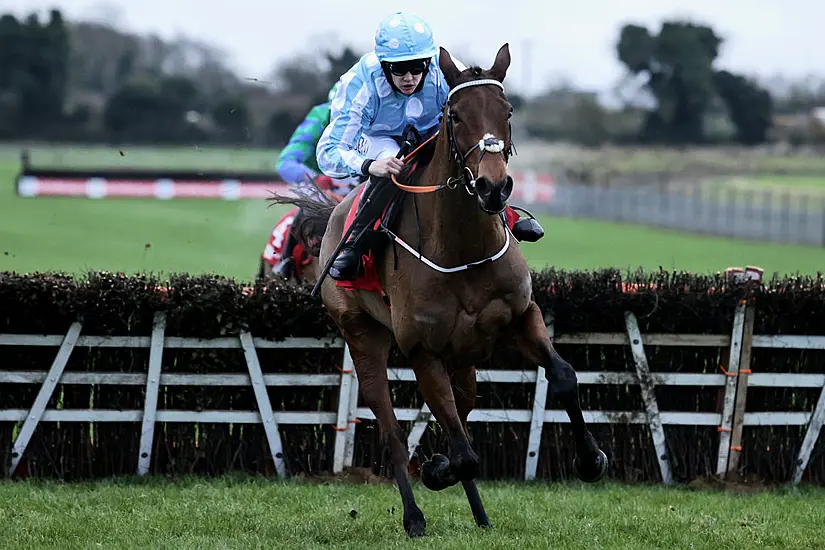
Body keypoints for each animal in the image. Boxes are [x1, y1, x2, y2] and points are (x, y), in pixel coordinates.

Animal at [268, 42, 604, 540]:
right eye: (456, 115)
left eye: (507, 111)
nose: (493, 186)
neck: (463, 250)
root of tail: (333, 215)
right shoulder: (420, 350)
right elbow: (463, 454)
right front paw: (435, 470)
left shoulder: (522, 315)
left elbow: (562, 377)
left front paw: (592, 459)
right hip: (362, 334)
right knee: (391, 427)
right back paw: (414, 516)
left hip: (464, 358)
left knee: (460, 413)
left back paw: (481, 516)